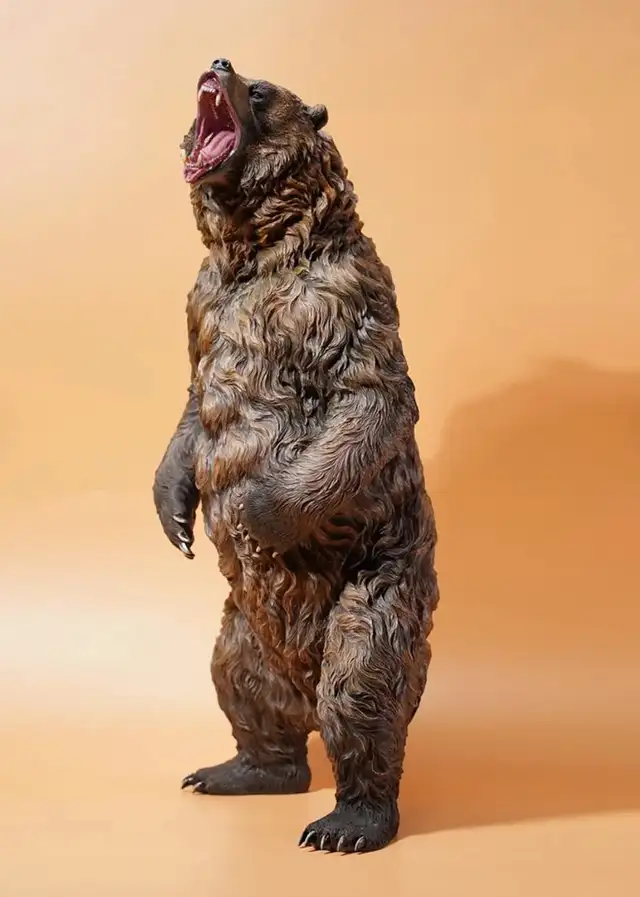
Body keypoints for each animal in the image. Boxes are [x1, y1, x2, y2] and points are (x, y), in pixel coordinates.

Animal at [152, 57, 440, 854]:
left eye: (260, 91)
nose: (218, 63)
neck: (255, 255)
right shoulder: (201, 302)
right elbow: (194, 397)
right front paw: (176, 512)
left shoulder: (341, 294)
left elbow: (367, 400)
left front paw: (257, 509)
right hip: (243, 629)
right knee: (243, 683)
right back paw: (232, 770)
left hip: (379, 584)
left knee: (362, 688)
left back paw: (347, 821)